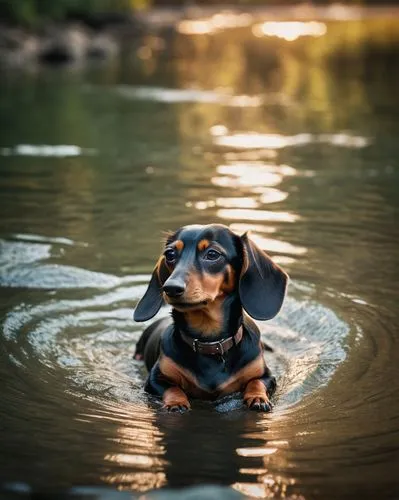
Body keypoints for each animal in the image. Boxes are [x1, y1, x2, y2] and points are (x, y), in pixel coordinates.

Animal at [134, 225, 288, 412]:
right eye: (170, 254)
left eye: (212, 254)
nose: (170, 287)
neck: (210, 342)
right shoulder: (154, 380)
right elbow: (172, 388)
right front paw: (176, 402)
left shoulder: (267, 376)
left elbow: (256, 382)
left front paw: (258, 398)